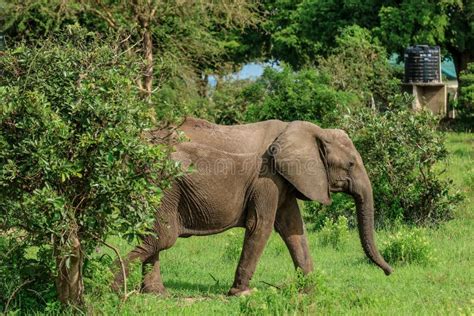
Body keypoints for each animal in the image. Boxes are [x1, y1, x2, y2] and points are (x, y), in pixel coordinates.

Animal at [112, 116, 392, 296]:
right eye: (351, 164)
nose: (389, 273)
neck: (311, 131)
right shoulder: (267, 177)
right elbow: (261, 226)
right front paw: (242, 293)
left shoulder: (284, 181)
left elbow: (293, 228)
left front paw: (311, 290)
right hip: (164, 186)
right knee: (163, 237)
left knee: (155, 236)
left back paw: (156, 294)